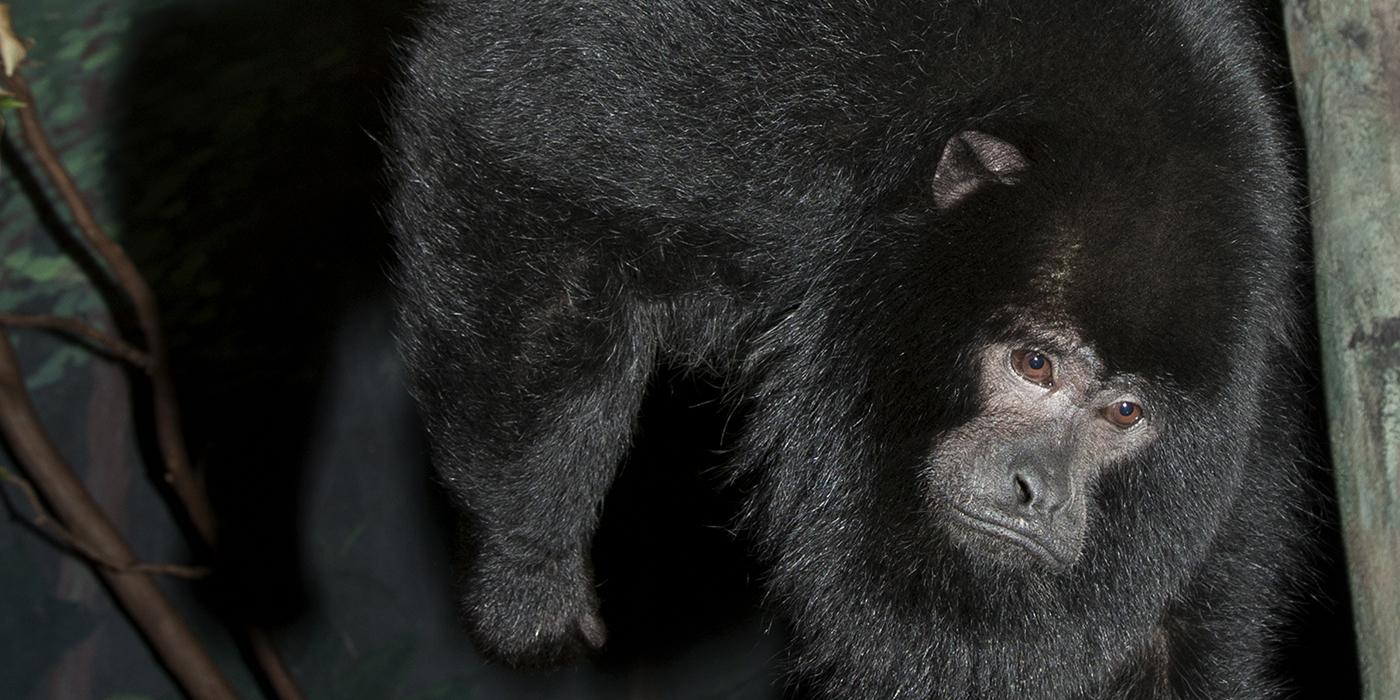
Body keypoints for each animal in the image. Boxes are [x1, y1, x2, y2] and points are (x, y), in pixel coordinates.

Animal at [386, 2, 1310, 697]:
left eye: (1123, 411)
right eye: (1035, 363)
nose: (1038, 490)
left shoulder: (1244, 445)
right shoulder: (784, 95)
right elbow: (509, 137)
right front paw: (526, 569)